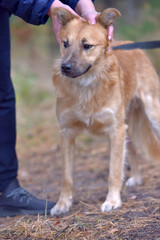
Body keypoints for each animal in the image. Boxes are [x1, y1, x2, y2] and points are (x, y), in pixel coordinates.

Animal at [50, 7, 160, 216]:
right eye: (65, 43)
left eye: (87, 45)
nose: (65, 67)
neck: (86, 87)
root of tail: (133, 45)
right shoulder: (66, 132)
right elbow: (66, 176)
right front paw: (62, 204)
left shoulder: (115, 130)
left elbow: (114, 171)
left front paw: (112, 200)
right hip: (126, 125)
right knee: (133, 149)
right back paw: (137, 177)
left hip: (152, 115)